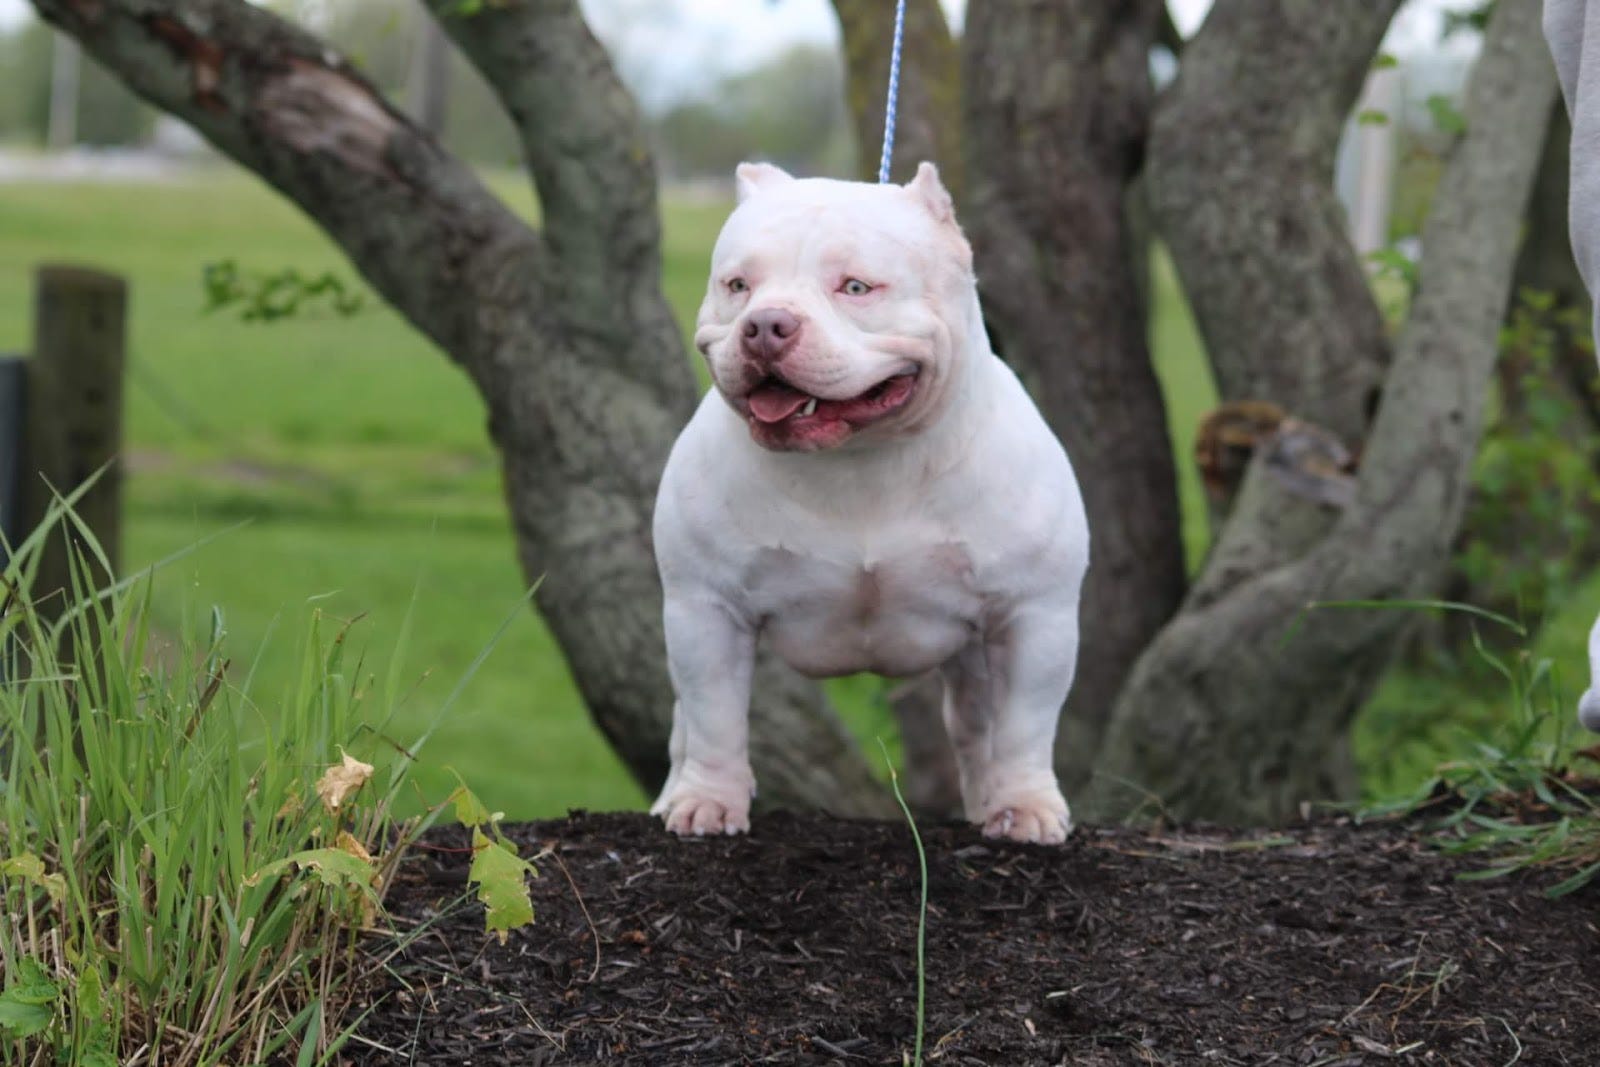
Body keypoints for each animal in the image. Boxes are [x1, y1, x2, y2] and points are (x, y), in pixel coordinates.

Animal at [649, 163, 1088, 844]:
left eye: (855, 287)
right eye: (738, 285)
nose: (765, 326)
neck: (862, 461)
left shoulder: (1032, 617)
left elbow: (1025, 727)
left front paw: (1026, 808)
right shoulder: (706, 610)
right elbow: (715, 718)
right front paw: (709, 803)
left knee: (979, 730)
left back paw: (993, 803)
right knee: (686, 723)